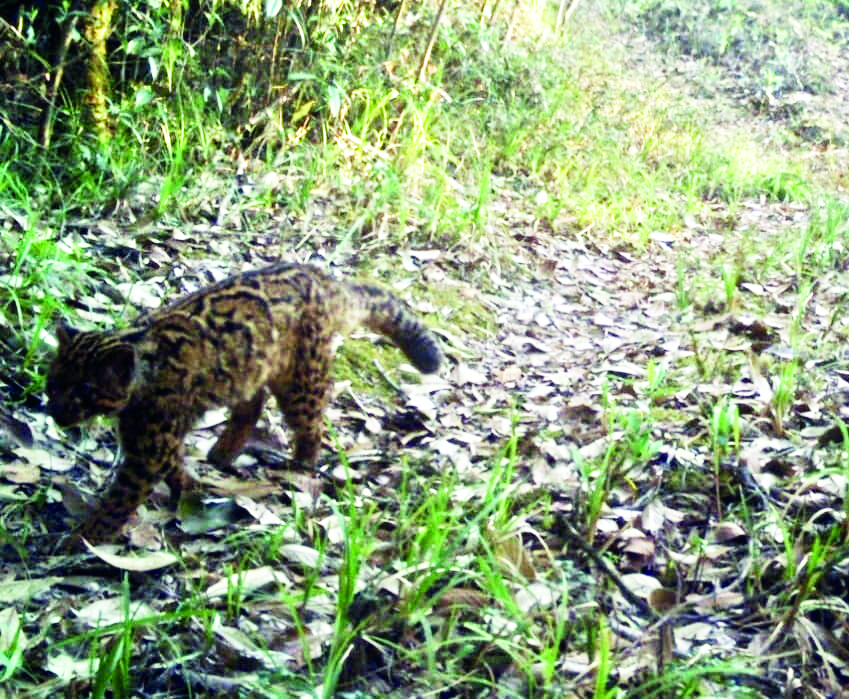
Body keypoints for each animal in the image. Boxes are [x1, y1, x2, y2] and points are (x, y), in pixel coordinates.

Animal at [44, 262, 444, 548]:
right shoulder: (151, 436)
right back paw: (223, 452)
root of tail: (327, 280)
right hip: (249, 368)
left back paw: (300, 466)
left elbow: (119, 499)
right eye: (53, 382)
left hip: (300, 379)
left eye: (83, 388)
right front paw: (188, 485)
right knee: (253, 403)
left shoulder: (149, 448)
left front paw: (82, 538)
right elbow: (174, 464)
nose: (55, 411)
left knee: (311, 425)